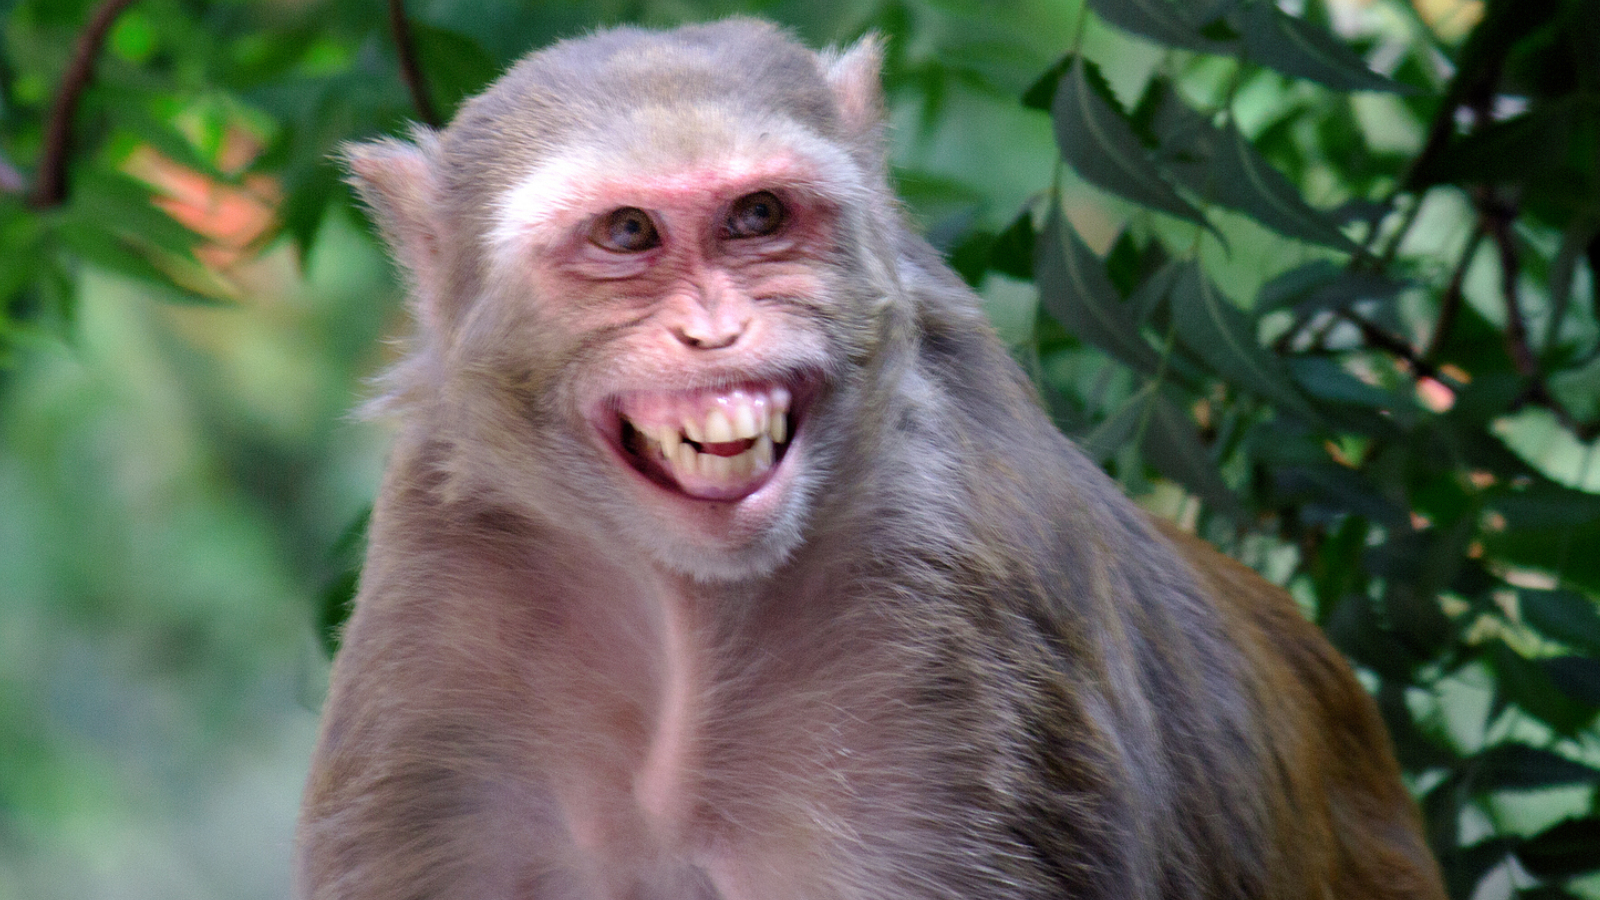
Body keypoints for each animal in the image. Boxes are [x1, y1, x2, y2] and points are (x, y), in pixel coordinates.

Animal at [296, 18, 1449, 900]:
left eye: (758, 215)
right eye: (627, 233)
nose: (716, 331)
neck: (689, 615)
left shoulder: (964, 615)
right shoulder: (437, 602)